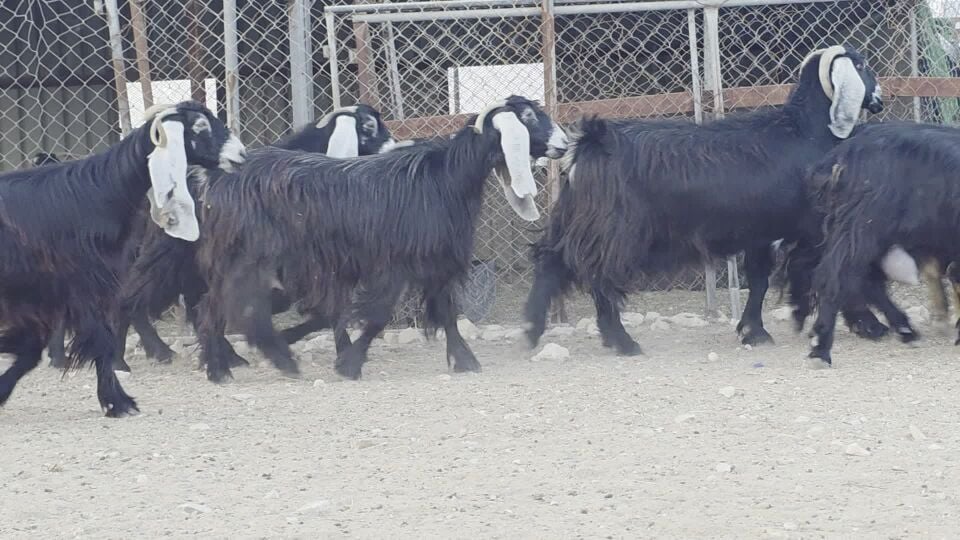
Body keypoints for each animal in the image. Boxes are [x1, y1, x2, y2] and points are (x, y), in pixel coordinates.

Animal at [0, 101, 245, 416]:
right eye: (200, 126)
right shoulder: (80, 287)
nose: (240, 154)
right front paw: (118, 402)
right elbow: (98, 340)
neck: (100, 193)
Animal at [115, 104, 395, 368]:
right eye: (369, 126)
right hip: (166, 252)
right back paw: (145, 354)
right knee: (132, 294)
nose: (394, 151)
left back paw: (225, 355)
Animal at [194, 95, 567, 382]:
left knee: (216, 304)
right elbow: (379, 315)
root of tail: (219, 178)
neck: (444, 178)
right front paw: (349, 364)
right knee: (231, 306)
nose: (563, 144)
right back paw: (239, 365)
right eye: (529, 116)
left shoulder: (436, 262)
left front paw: (464, 360)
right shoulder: (394, 263)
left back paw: (230, 363)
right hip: (249, 255)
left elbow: (447, 313)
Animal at [524, 45, 886, 356]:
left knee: (551, 261)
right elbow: (832, 275)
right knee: (598, 277)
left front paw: (752, 332)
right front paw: (869, 325)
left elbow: (758, 280)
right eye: (862, 65)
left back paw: (531, 330)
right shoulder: (811, 229)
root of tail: (592, 142)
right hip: (612, 231)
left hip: (578, 221)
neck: (805, 132)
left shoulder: (762, 232)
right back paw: (623, 342)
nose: (879, 97)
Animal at [803, 122, 960, 365]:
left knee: (867, 279)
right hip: (863, 228)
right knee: (835, 277)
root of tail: (842, 155)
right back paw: (821, 348)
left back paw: (905, 329)